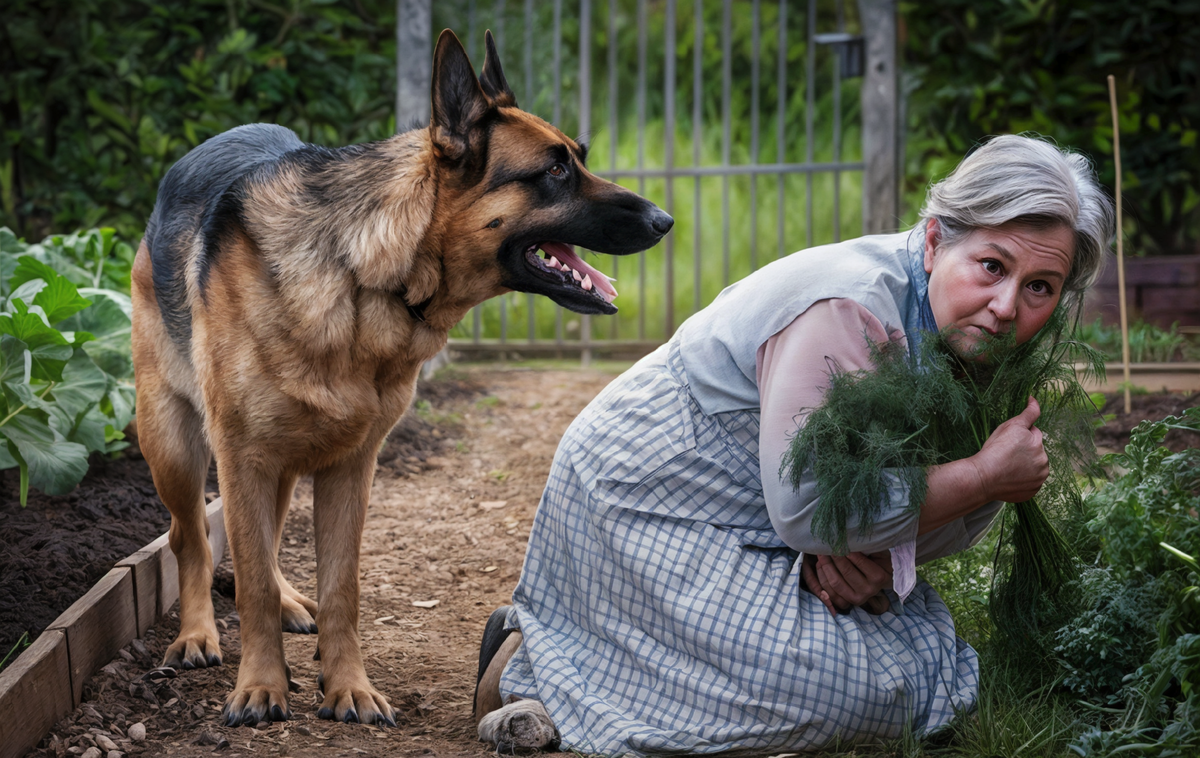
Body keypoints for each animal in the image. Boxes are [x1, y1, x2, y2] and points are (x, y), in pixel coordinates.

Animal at [133, 31, 676, 729]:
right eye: (554, 171)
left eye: (577, 160)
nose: (665, 220)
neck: (368, 277)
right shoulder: (243, 453)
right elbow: (247, 578)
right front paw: (260, 686)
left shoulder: (351, 465)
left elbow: (341, 586)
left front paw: (347, 687)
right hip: (178, 446)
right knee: (192, 537)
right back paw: (198, 634)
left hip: (272, 463)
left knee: (269, 541)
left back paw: (290, 606)